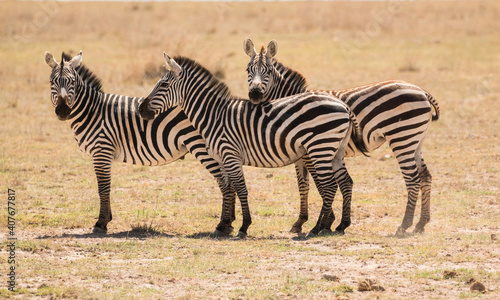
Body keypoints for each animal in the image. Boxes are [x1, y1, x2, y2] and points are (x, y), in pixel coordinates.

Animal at [44, 51, 236, 234]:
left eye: (71, 81)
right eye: (52, 82)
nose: (63, 110)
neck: (92, 111)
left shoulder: (101, 152)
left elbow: (103, 188)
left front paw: (101, 223)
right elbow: (105, 187)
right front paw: (107, 219)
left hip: (203, 147)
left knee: (225, 182)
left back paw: (223, 225)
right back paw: (230, 222)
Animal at [139, 52, 366, 238]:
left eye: (163, 85)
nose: (141, 110)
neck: (214, 115)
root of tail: (342, 104)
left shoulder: (230, 154)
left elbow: (241, 189)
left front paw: (243, 226)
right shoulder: (223, 158)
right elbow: (228, 187)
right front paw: (224, 225)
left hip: (320, 148)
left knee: (329, 186)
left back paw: (317, 228)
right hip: (335, 151)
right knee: (345, 182)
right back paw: (341, 225)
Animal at [243, 39, 442, 237]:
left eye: (268, 71)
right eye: (248, 70)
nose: (254, 94)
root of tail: (422, 91)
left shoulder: (310, 152)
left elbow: (320, 184)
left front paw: (326, 222)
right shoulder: (300, 154)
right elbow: (303, 185)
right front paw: (302, 222)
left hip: (403, 138)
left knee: (412, 178)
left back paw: (404, 225)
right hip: (415, 140)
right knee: (425, 176)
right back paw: (421, 223)